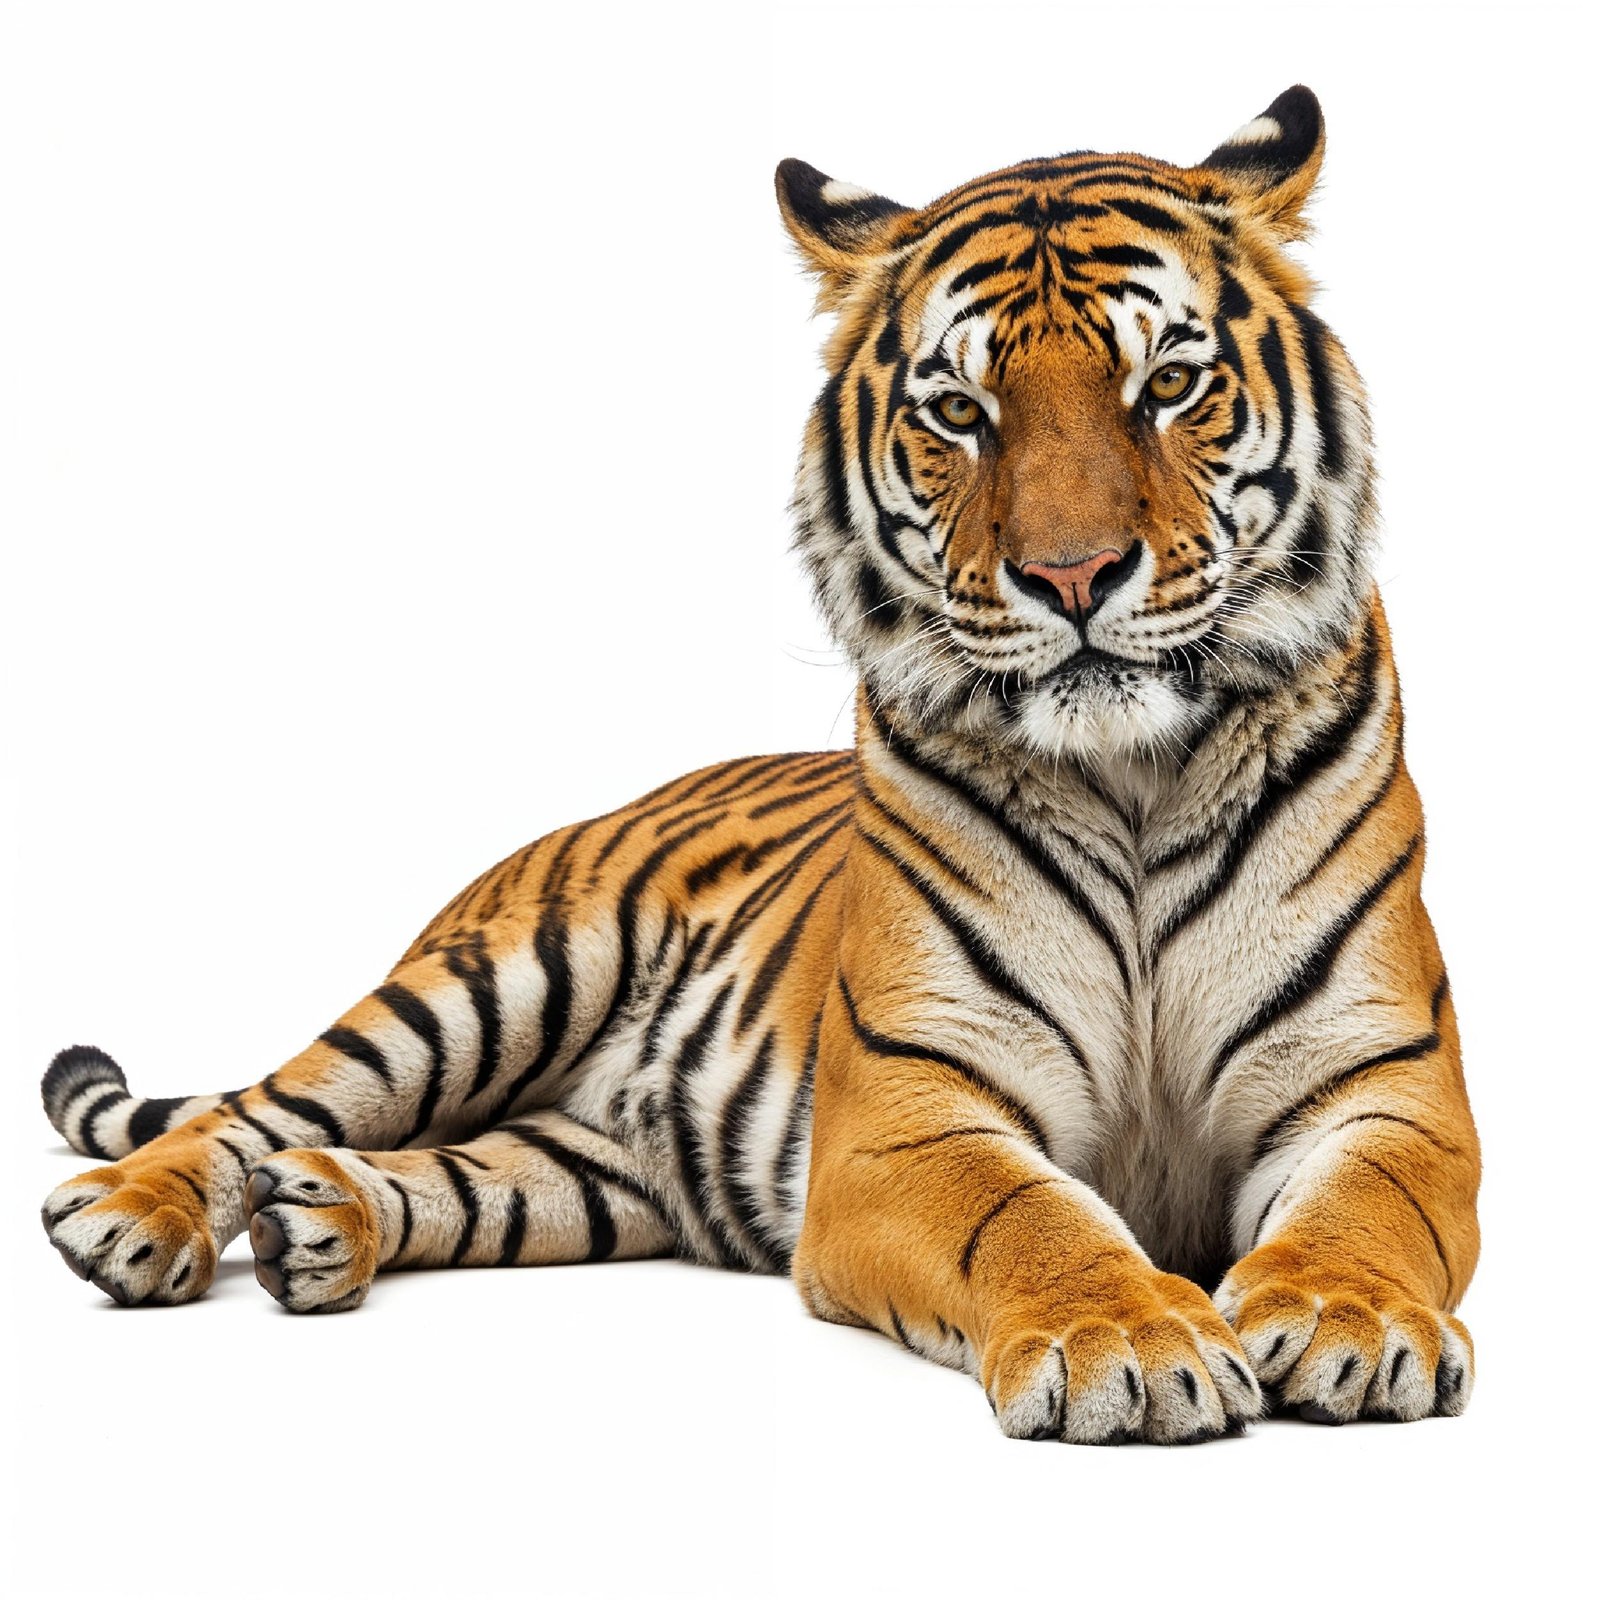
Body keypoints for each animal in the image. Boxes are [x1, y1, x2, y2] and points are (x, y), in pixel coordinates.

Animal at [39, 85, 1479, 1444]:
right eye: (959, 412)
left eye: (1167, 386)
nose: (1071, 576)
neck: (1128, 771)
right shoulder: (909, 1110)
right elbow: (1031, 1215)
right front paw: (1124, 1338)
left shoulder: (1388, 1085)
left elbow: (1372, 1208)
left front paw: (1347, 1324)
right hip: (487, 985)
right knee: (252, 1108)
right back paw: (132, 1217)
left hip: (586, 1171)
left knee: (454, 1170)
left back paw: (319, 1220)